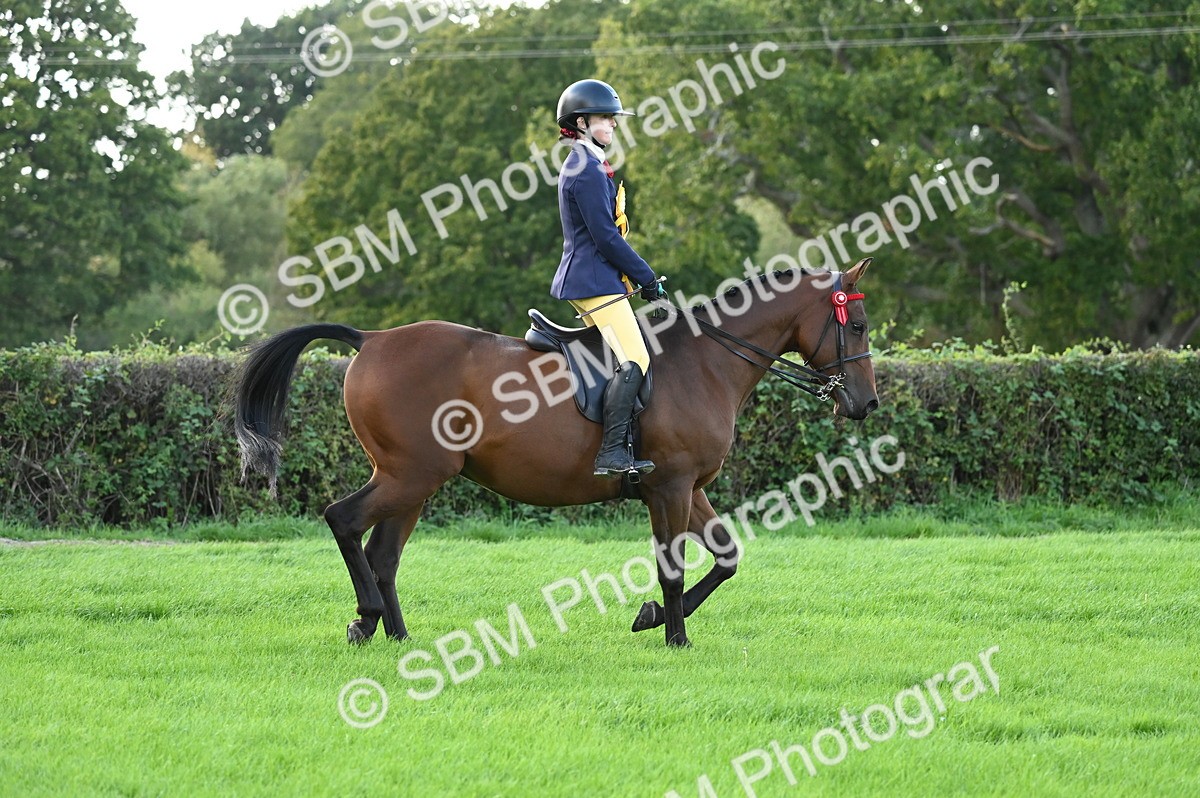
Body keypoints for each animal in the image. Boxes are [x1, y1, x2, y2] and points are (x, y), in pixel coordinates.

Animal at [232, 258, 878, 647]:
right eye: (859, 326)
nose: (866, 404)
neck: (705, 362)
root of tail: (372, 340)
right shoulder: (668, 487)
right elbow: (672, 568)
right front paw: (674, 637)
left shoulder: (688, 487)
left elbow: (726, 557)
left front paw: (650, 618)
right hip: (410, 476)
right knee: (343, 520)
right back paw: (366, 619)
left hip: (412, 481)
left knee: (383, 554)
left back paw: (396, 635)